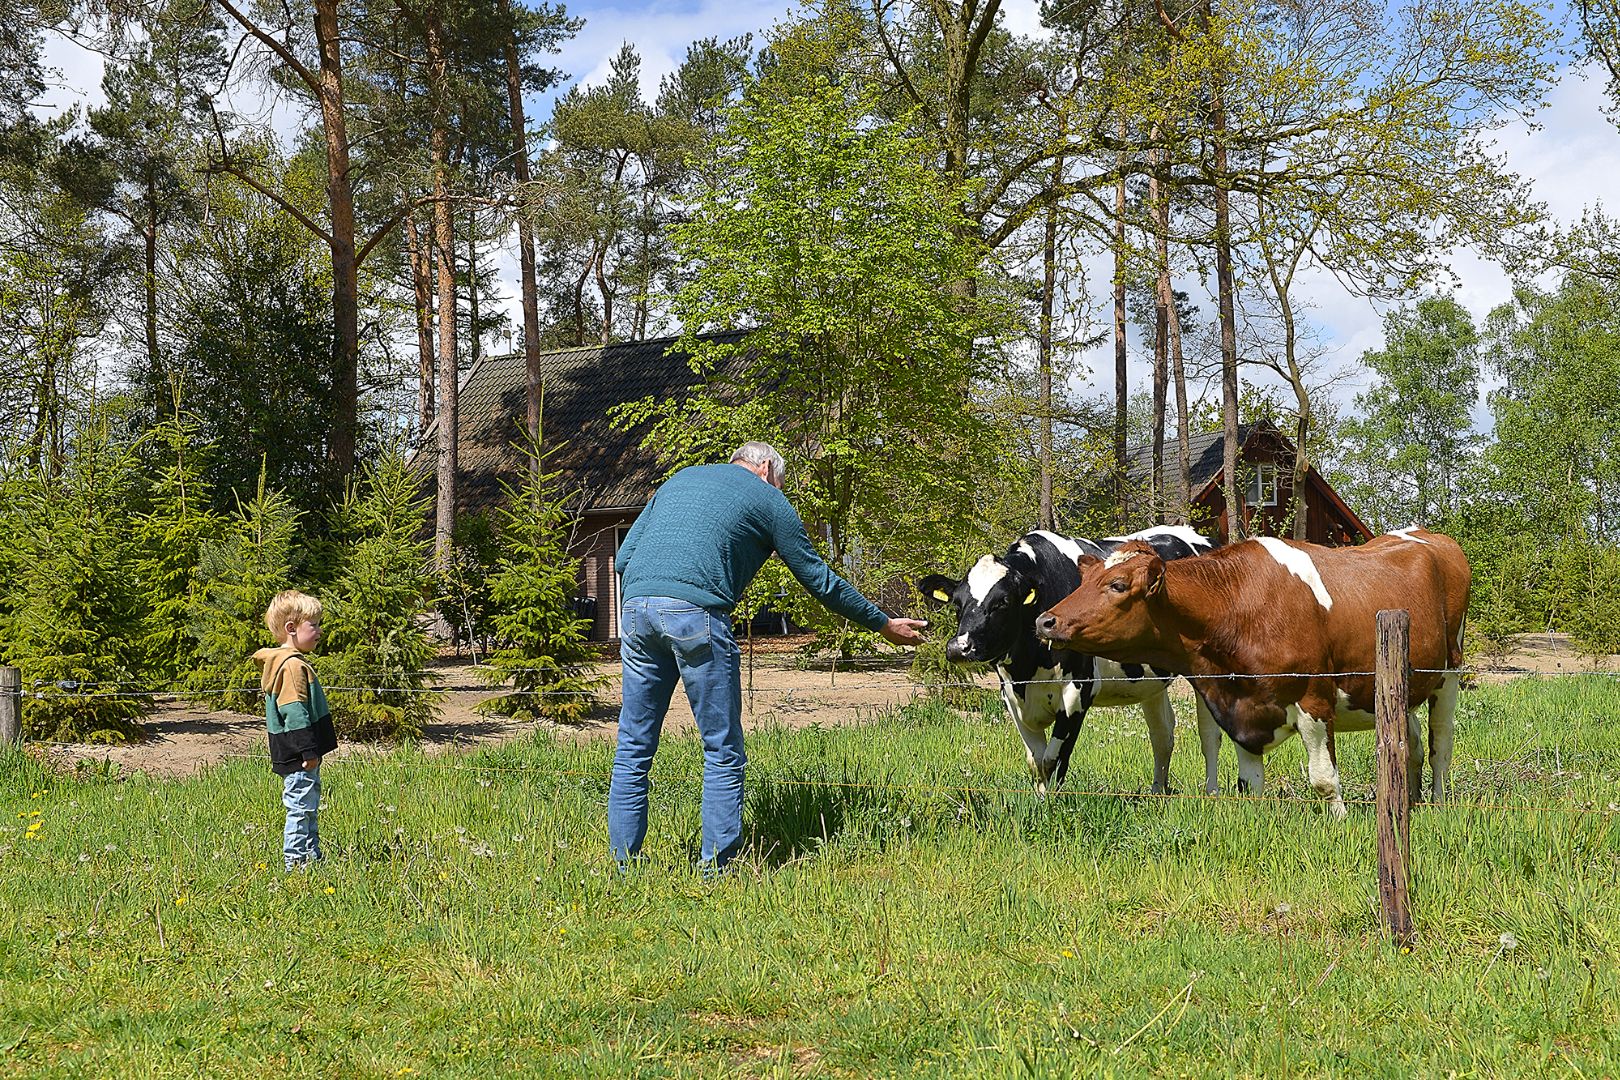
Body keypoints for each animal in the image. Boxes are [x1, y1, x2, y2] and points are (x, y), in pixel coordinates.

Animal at [920, 527, 1218, 799]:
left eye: (1002, 602)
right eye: (957, 604)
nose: (959, 648)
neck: (1027, 667)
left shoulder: (1078, 692)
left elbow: (1054, 758)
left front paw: (1053, 804)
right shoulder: (1012, 697)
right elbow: (1036, 760)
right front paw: (1041, 803)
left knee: (1208, 734)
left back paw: (1212, 793)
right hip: (1151, 682)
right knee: (1162, 734)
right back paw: (1157, 793)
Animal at [1030, 527, 1477, 816]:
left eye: (1119, 585)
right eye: (1084, 579)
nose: (1046, 621)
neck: (1238, 607)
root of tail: (1429, 535)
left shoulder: (1314, 698)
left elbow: (1323, 779)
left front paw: (1340, 824)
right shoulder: (1238, 705)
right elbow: (1250, 785)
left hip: (1449, 674)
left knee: (1440, 746)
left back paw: (1437, 804)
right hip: (1402, 685)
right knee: (1411, 742)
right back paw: (1409, 801)